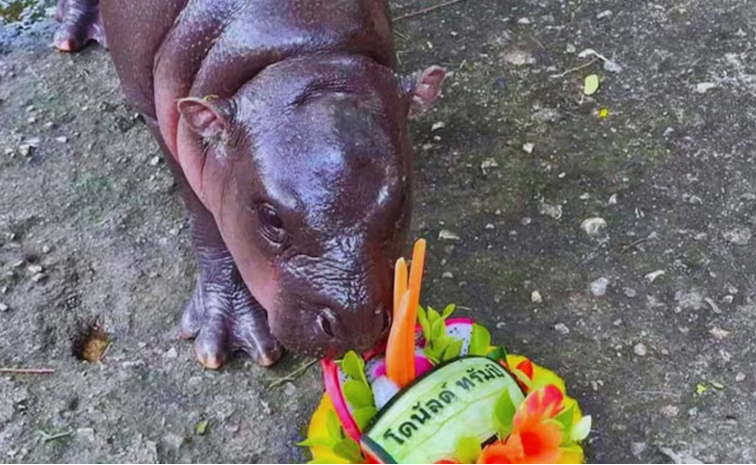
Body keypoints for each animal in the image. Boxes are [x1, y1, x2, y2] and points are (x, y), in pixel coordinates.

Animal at [53, 0, 446, 369]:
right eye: (271, 218)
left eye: (401, 199)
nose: (356, 322)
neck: (303, 51)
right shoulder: (161, 117)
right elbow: (207, 219)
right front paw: (221, 339)